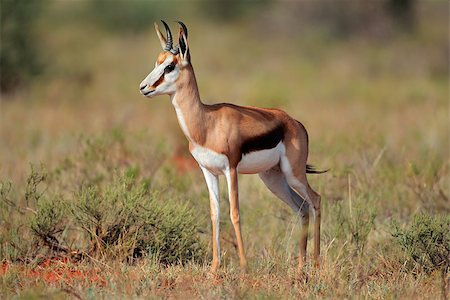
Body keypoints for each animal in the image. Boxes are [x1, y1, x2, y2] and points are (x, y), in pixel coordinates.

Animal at [139, 21, 326, 274]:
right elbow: (215, 214)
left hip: (293, 174)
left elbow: (234, 213)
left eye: (170, 66)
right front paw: (214, 268)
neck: (207, 123)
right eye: (157, 62)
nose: (143, 87)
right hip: (273, 178)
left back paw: (315, 262)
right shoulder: (208, 171)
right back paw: (300, 265)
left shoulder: (231, 169)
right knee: (302, 207)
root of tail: (295, 123)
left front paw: (244, 267)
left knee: (315, 200)